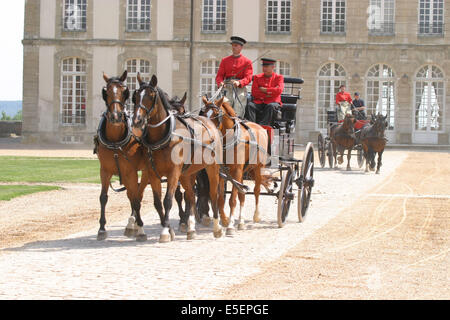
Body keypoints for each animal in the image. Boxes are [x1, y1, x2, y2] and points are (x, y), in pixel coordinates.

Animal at [94, 69, 149, 240]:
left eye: (125, 91)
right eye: (106, 91)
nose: (116, 116)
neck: (115, 141)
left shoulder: (131, 171)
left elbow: (136, 198)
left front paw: (141, 228)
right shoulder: (105, 171)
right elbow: (103, 198)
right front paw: (102, 228)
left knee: (137, 194)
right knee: (132, 194)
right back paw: (131, 223)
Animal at [132, 73, 227, 242]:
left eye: (151, 95)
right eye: (135, 96)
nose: (137, 121)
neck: (164, 137)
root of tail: (211, 125)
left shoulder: (174, 172)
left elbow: (168, 200)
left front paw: (165, 232)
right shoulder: (152, 173)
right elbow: (158, 202)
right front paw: (171, 228)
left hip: (212, 168)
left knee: (214, 194)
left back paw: (217, 226)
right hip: (187, 173)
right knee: (191, 195)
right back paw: (191, 228)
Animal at [201, 96, 270, 234]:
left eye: (216, 115)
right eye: (204, 114)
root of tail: (260, 127)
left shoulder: (236, 171)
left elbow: (232, 200)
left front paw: (230, 226)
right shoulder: (223, 172)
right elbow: (221, 198)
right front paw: (225, 220)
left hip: (258, 168)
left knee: (256, 190)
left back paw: (256, 216)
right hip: (242, 171)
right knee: (242, 194)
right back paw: (241, 222)